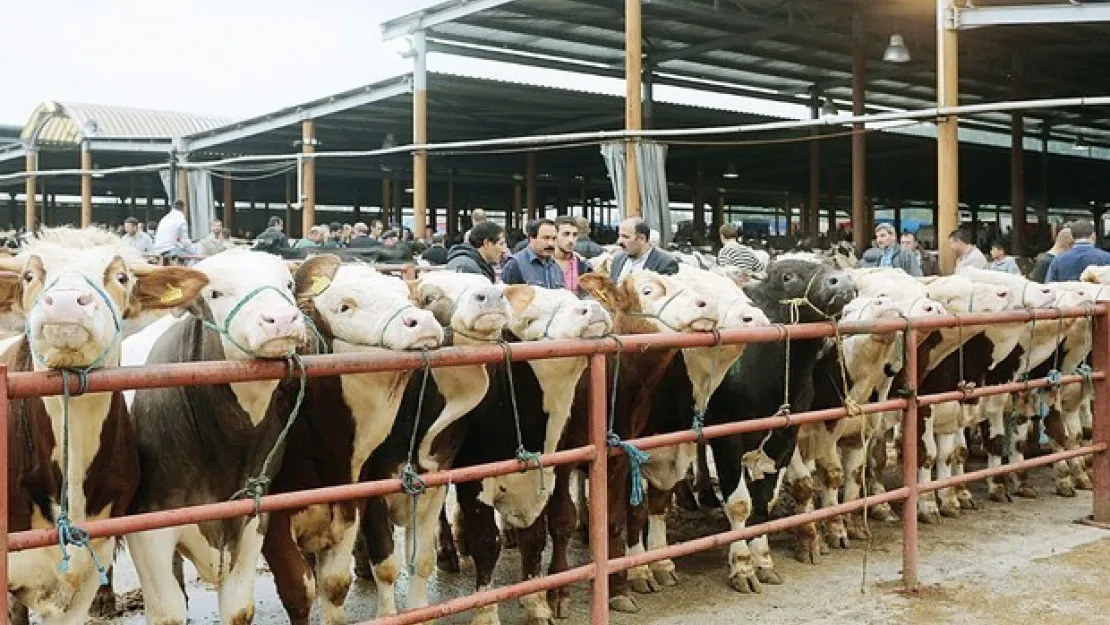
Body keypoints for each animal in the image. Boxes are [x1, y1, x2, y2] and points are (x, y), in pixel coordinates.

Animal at [119, 249, 339, 625]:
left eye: (288, 284)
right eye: (215, 293)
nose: (281, 319)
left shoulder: (254, 515)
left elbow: (239, 609)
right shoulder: (149, 527)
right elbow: (168, 614)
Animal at [264, 265, 441, 625]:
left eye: (403, 293)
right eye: (344, 306)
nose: (422, 321)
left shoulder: (351, 503)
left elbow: (334, 584)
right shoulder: (272, 522)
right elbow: (298, 592)